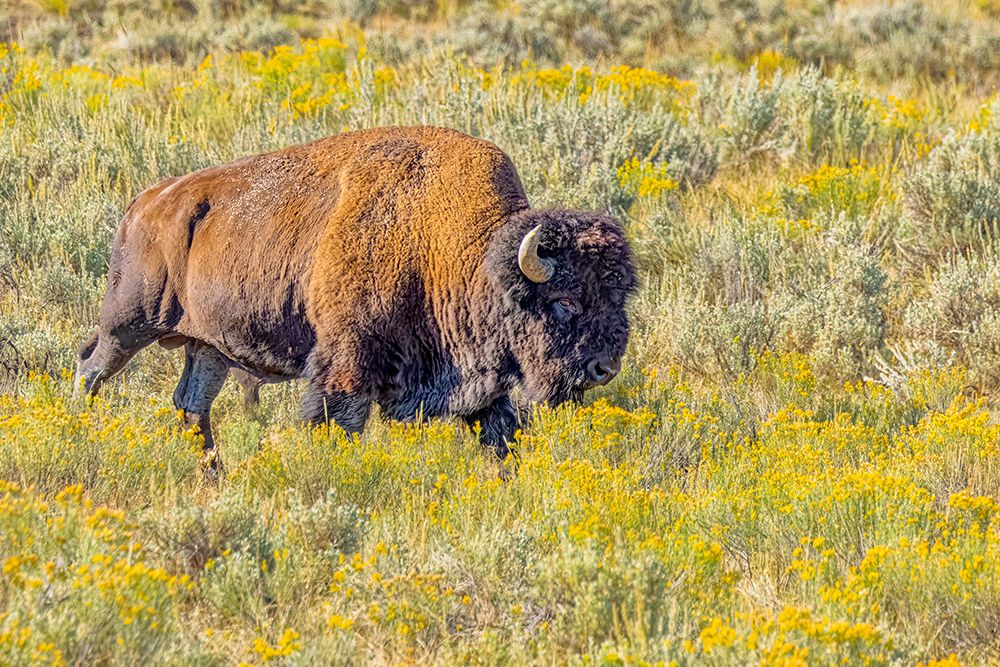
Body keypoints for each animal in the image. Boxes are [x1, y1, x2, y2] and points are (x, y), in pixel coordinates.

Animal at [76, 126, 636, 471]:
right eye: (565, 300)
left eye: (619, 297)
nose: (604, 368)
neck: (452, 248)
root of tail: (146, 202)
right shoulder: (345, 366)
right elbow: (335, 423)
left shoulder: (480, 388)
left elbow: (501, 438)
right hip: (128, 322)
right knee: (91, 367)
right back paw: (80, 430)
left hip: (208, 346)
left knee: (192, 405)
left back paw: (215, 476)